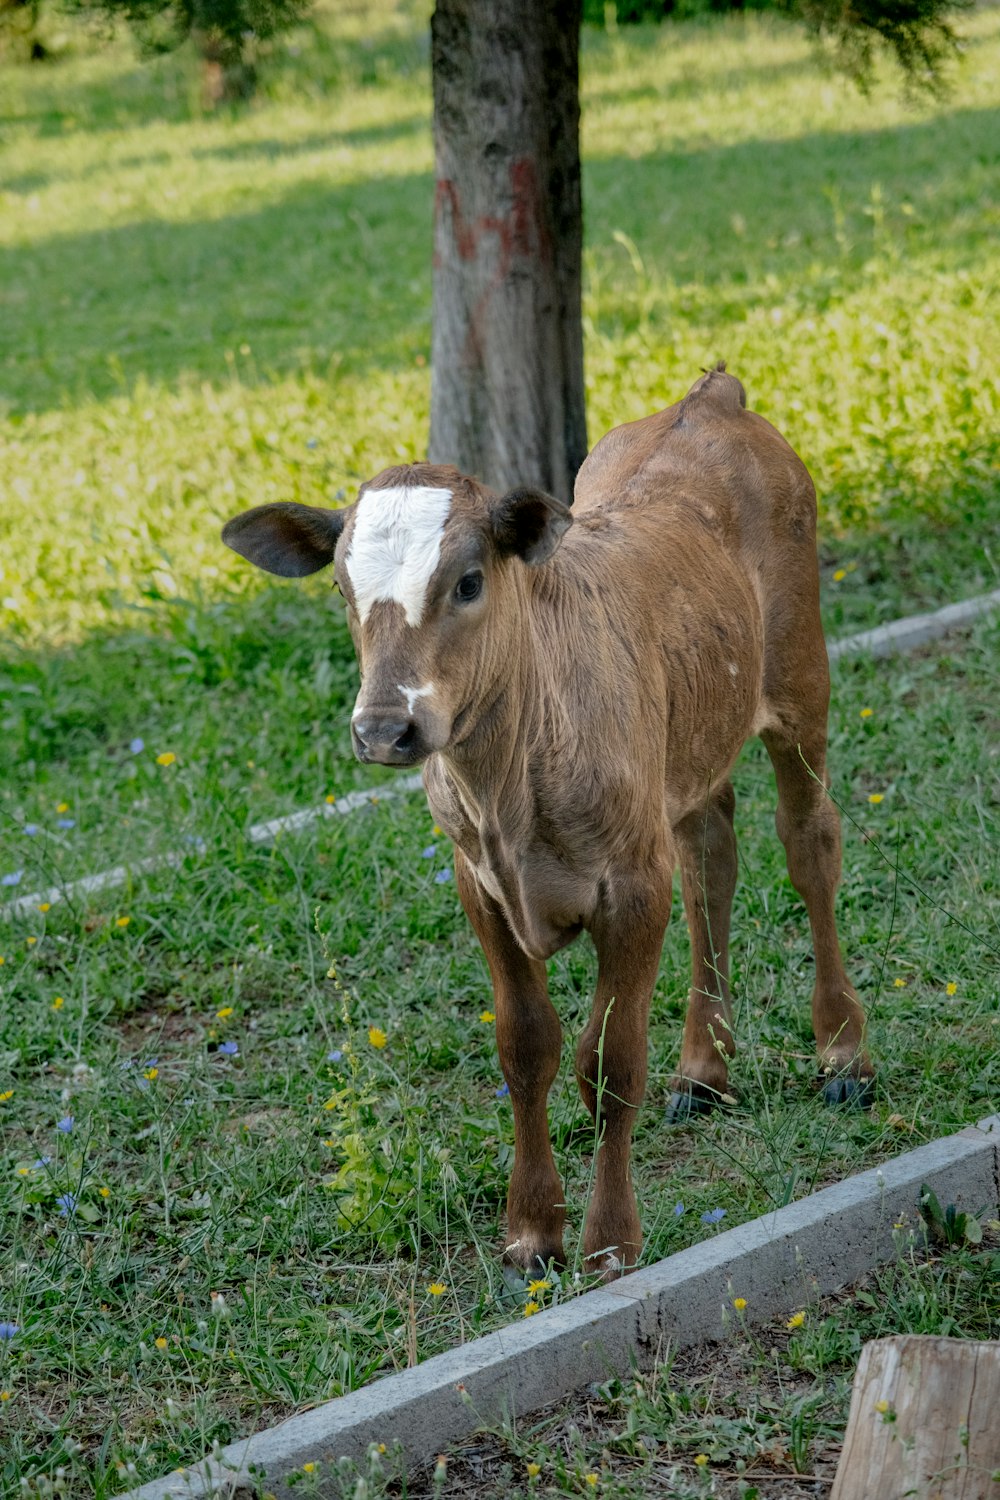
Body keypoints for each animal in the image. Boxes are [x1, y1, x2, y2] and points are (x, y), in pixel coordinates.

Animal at [223, 363, 869, 1278]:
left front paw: (611, 1243)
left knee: (810, 841)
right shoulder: (481, 887)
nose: (384, 728)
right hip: (689, 744)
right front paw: (532, 1230)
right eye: (344, 591)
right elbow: (527, 1047)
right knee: (712, 858)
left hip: (801, 679)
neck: (509, 790)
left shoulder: (632, 888)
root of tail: (709, 397)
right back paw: (702, 1070)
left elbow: (610, 1061)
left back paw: (844, 1052)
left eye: (467, 581)